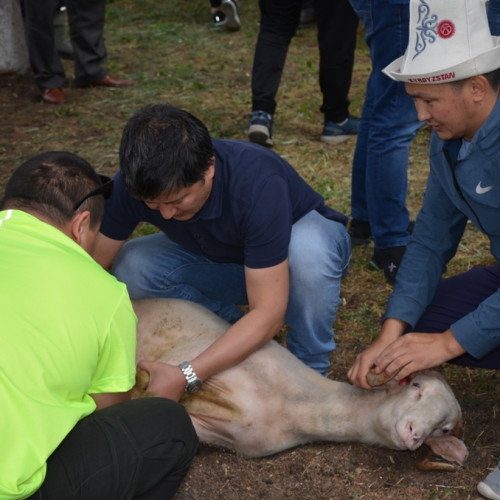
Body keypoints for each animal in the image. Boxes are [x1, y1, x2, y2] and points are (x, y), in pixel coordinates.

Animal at [132, 296, 468, 464]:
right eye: (415, 386)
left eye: (443, 429)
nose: (414, 433)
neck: (294, 408)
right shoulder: (192, 354)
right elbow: (150, 384)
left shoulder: (210, 429)